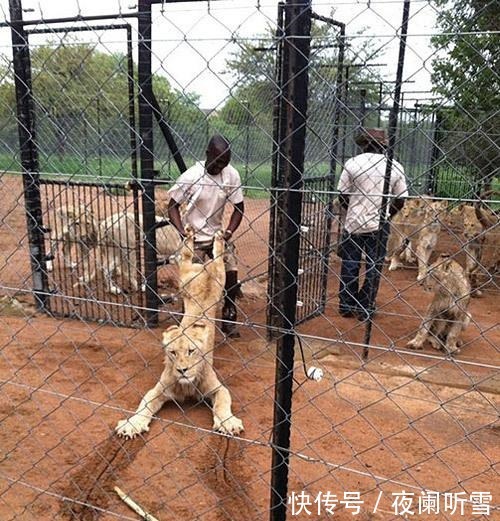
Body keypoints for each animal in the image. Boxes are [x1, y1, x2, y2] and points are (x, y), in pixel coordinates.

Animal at [115, 225, 244, 436]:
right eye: (173, 352)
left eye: (191, 351)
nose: (182, 370)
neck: (187, 385)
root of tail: (204, 268)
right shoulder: (158, 390)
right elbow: (143, 406)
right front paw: (132, 424)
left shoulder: (218, 388)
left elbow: (222, 403)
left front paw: (228, 422)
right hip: (184, 279)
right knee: (186, 256)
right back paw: (190, 234)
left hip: (219, 278)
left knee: (218, 258)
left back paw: (217, 240)